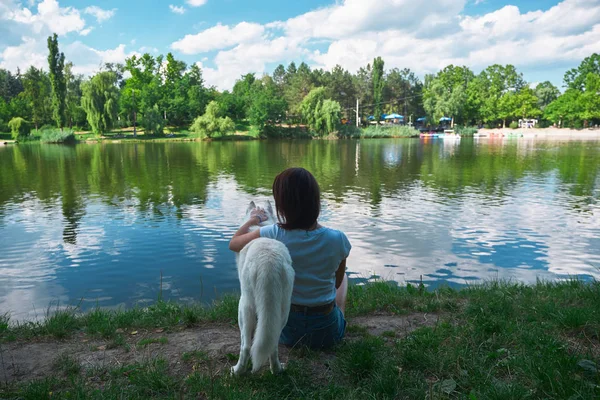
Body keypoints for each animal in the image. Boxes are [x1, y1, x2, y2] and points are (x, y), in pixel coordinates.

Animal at [231, 203, 294, 376]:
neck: (259, 226)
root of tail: (268, 262)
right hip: (283, 310)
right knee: (273, 345)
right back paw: (277, 370)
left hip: (244, 307)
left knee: (246, 346)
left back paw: (237, 371)